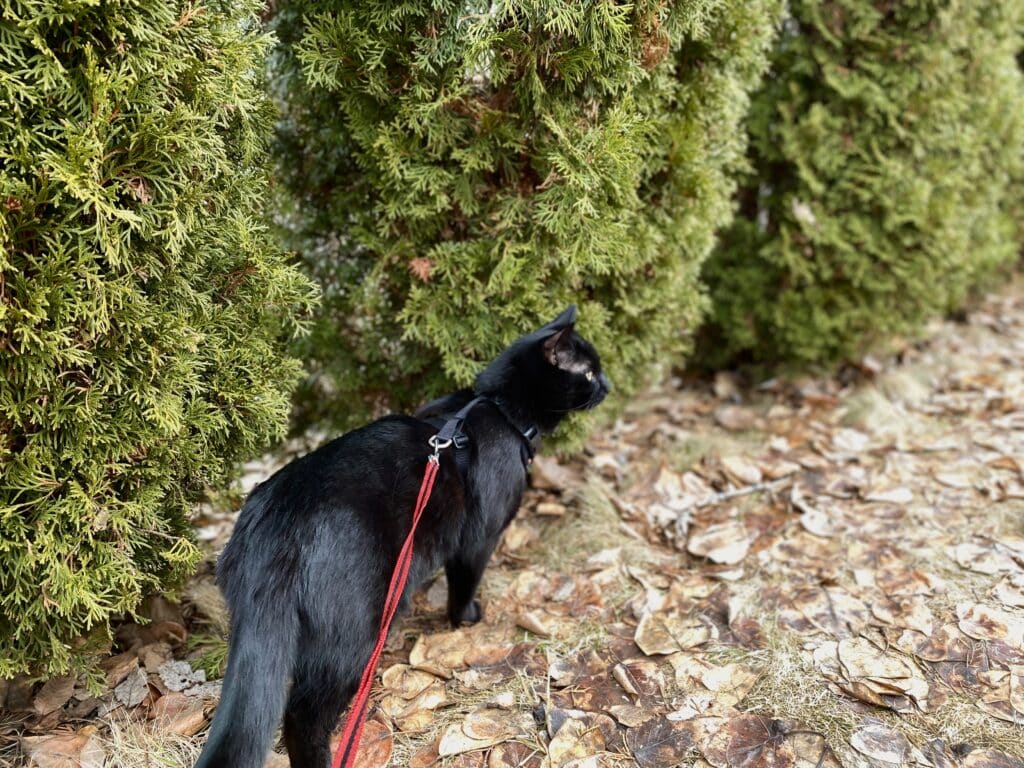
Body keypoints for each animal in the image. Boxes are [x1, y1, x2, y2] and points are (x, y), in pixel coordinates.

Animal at [192, 307, 606, 768]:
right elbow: (464, 583)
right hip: (355, 632)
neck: (499, 409)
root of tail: (275, 525)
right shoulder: (478, 537)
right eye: (589, 371)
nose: (607, 384)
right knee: (302, 715)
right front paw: (466, 619)